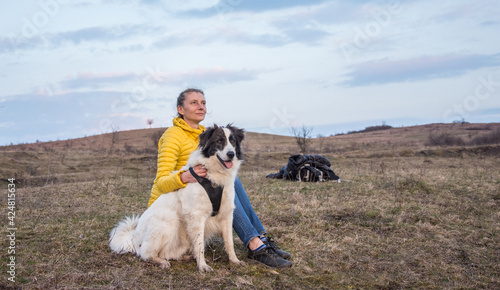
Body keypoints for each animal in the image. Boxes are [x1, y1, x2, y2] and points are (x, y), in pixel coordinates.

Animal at [108, 124, 245, 272]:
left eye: (233, 141)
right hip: (168, 220)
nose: (231, 154)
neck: (213, 176)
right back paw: (160, 262)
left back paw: (185, 257)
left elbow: (229, 242)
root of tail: (133, 237)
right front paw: (202, 265)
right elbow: (199, 244)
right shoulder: (196, 216)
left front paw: (234, 260)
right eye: (219, 141)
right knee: (146, 254)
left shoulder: (226, 215)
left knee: (167, 253)